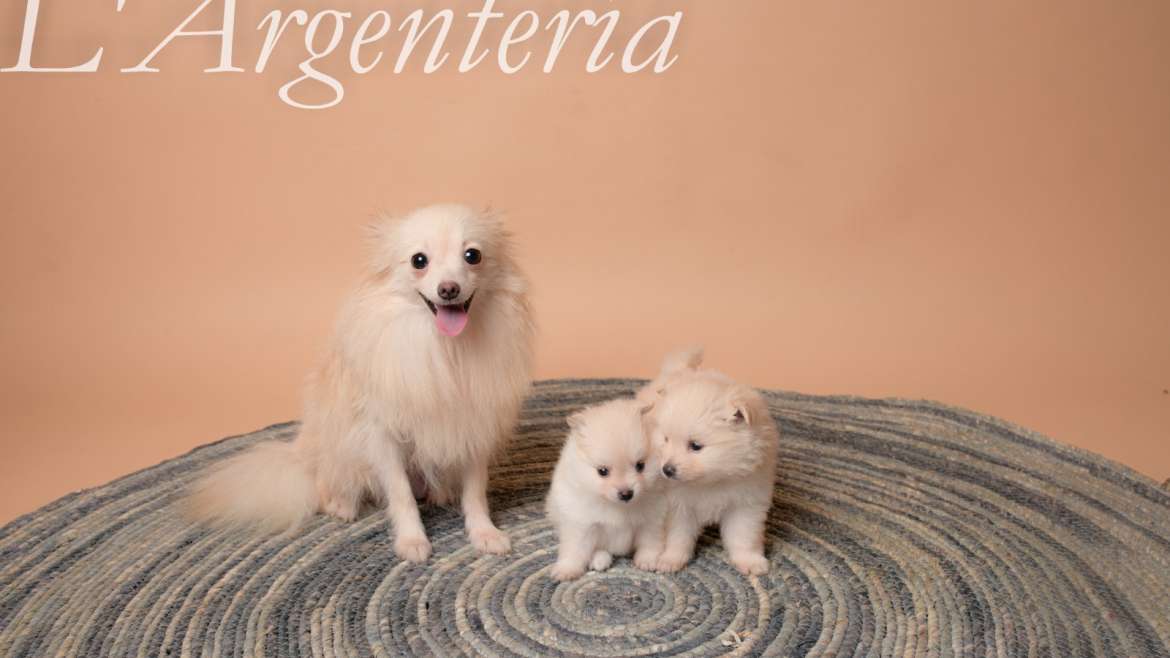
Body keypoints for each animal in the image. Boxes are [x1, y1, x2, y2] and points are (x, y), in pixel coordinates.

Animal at [188, 203, 535, 557]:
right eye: (419, 261)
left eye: (472, 255)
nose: (448, 289)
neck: (446, 348)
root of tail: (300, 457)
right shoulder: (383, 436)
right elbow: (401, 494)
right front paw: (412, 541)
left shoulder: (474, 427)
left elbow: (475, 492)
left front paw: (484, 533)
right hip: (339, 450)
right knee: (326, 483)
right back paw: (341, 505)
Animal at [542, 393, 664, 578]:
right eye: (602, 471)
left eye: (640, 465)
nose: (626, 494)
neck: (617, 507)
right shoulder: (581, 523)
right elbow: (575, 549)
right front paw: (566, 570)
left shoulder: (651, 519)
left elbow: (650, 541)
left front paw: (647, 561)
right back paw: (599, 560)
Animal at [641, 348, 776, 573]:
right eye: (666, 439)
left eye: (696, 446)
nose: (667, 470)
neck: (713, 481)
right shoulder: (677, 505)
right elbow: (677, 536)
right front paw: (670, 560)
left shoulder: (746, 503)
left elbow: (743, 536)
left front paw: (750, 561)